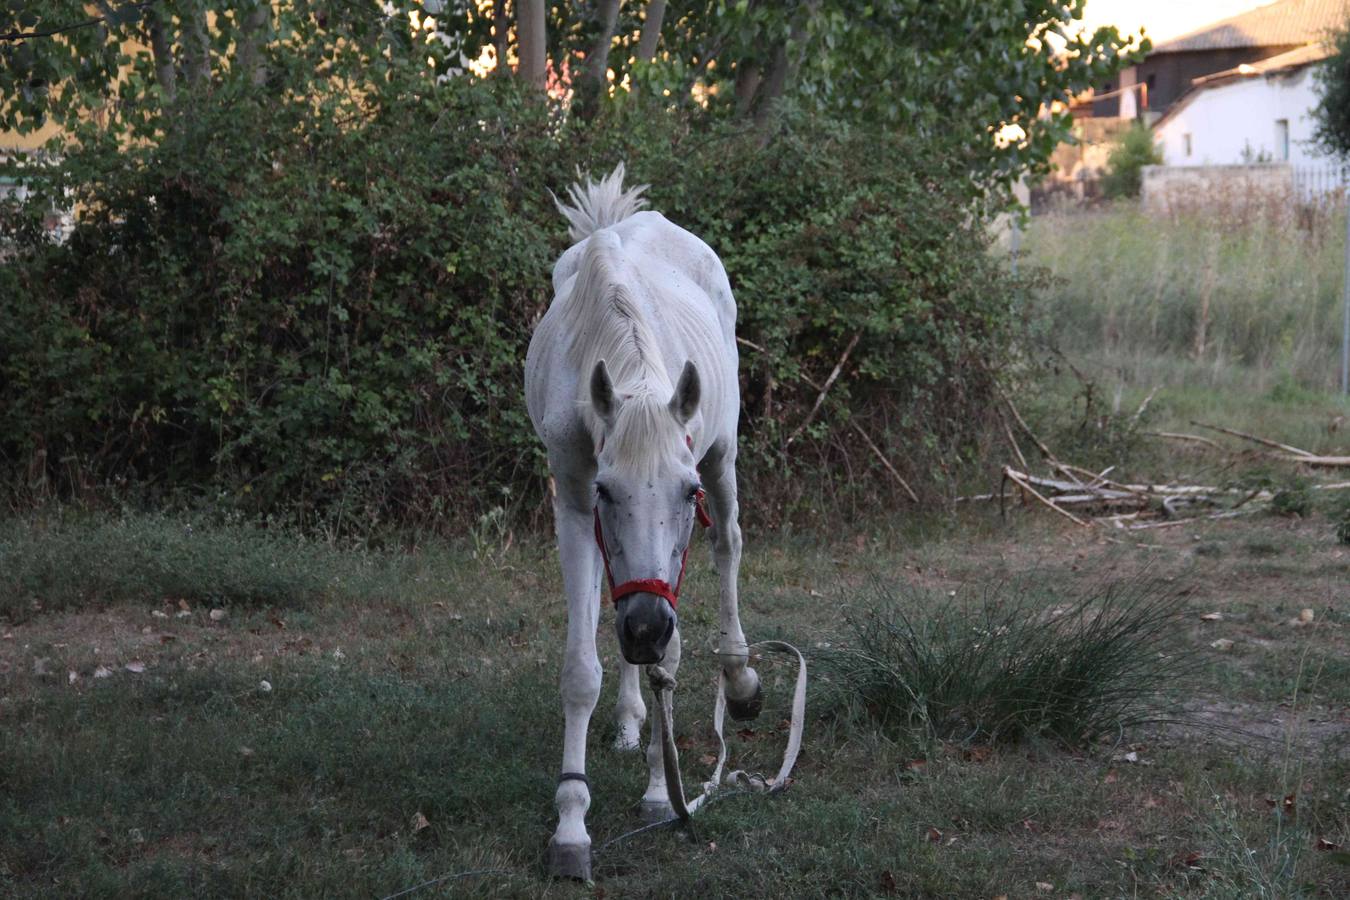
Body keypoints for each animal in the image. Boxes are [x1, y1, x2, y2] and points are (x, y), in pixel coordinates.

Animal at [523, 165, 761, 874]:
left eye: (687, 494)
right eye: (607, 489)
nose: (649, 624)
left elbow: (672, 657)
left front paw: (662, 790)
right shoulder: (575, 502)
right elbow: (584, 668)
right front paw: (571, 824)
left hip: (725, 452)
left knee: (730, 543)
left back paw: (740, 678)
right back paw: (631, 717)